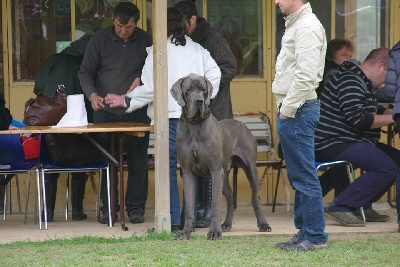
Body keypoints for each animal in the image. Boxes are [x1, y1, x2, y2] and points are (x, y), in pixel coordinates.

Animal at [170, 73, 270, 241]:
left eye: (203, 89)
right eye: (188, 89)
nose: (199, 101)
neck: (195, 126)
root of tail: (243, 125)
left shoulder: (215, 170)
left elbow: (215, 204)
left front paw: (214, 232)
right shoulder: (188, 172)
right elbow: (189, 206)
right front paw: (185, 232)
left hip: (249, 168)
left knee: (255, 198)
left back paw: (263, 224)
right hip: (224, 174)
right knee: (230, 196)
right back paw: (227, 224)